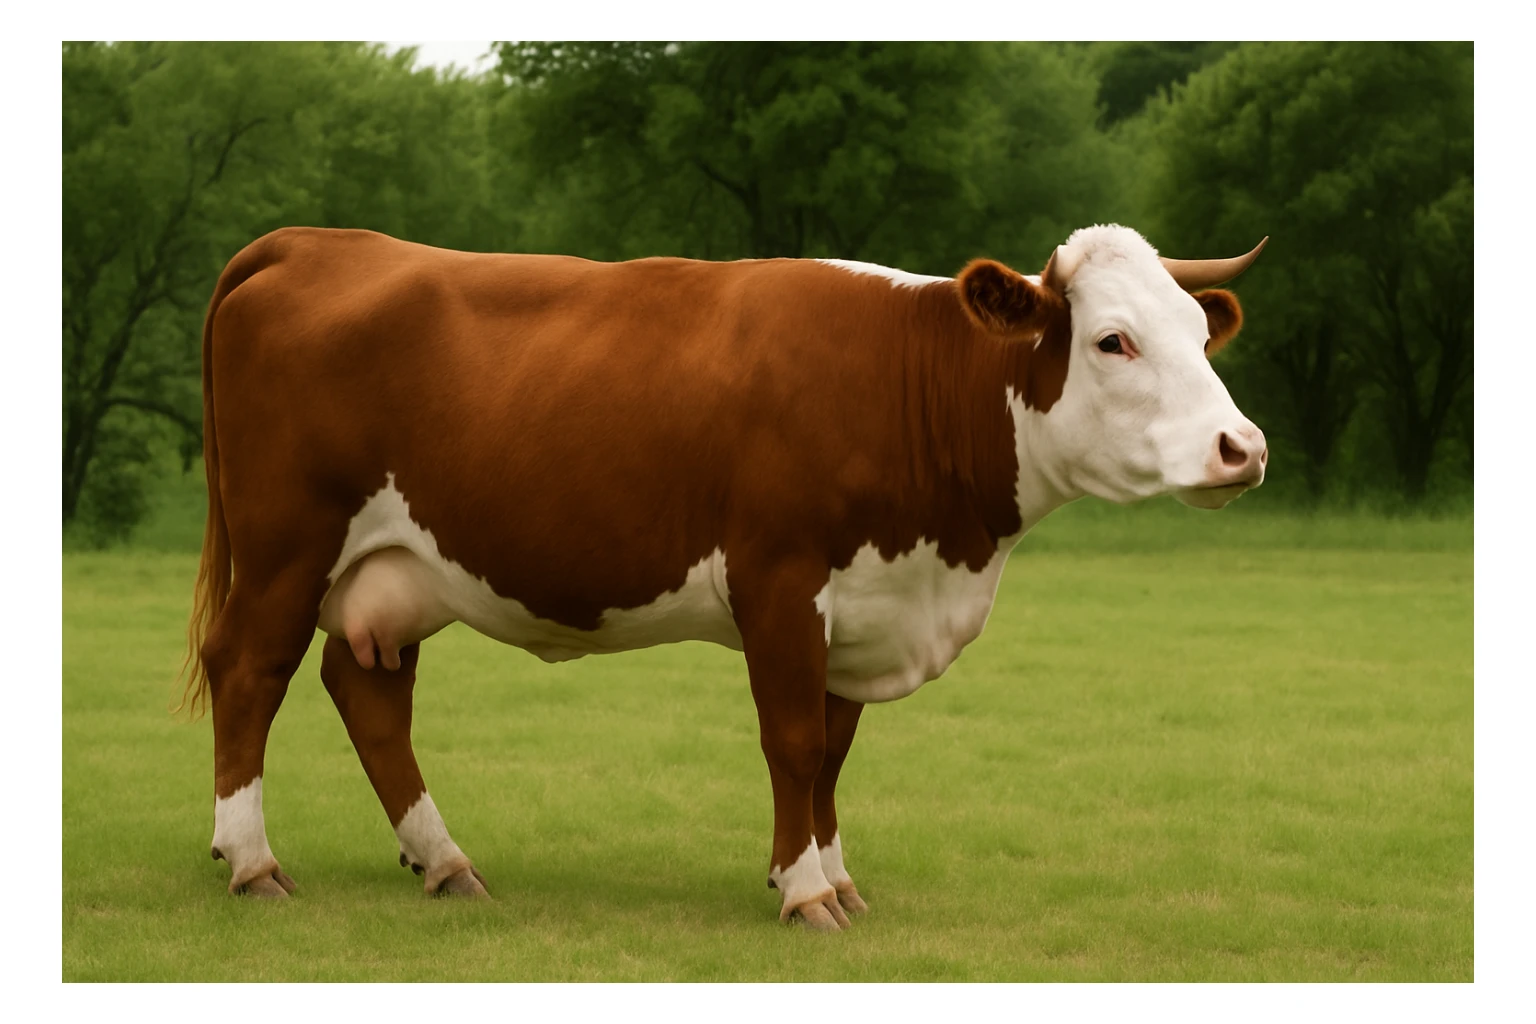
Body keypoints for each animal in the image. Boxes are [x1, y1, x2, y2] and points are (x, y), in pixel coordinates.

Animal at [178, 223, 1267, 931]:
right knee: (249, 669)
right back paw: (253, 861)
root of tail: (318, 241)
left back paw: (445, 863)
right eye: (1113, 339)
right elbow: (793, 743)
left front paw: (835, 876)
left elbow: (833, 753)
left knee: (368, 691)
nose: (1242, 448)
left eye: (1197, 332)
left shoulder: (862, 604)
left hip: (396, 574)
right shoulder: (780, 579)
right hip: (286, 545)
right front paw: (805, 892)